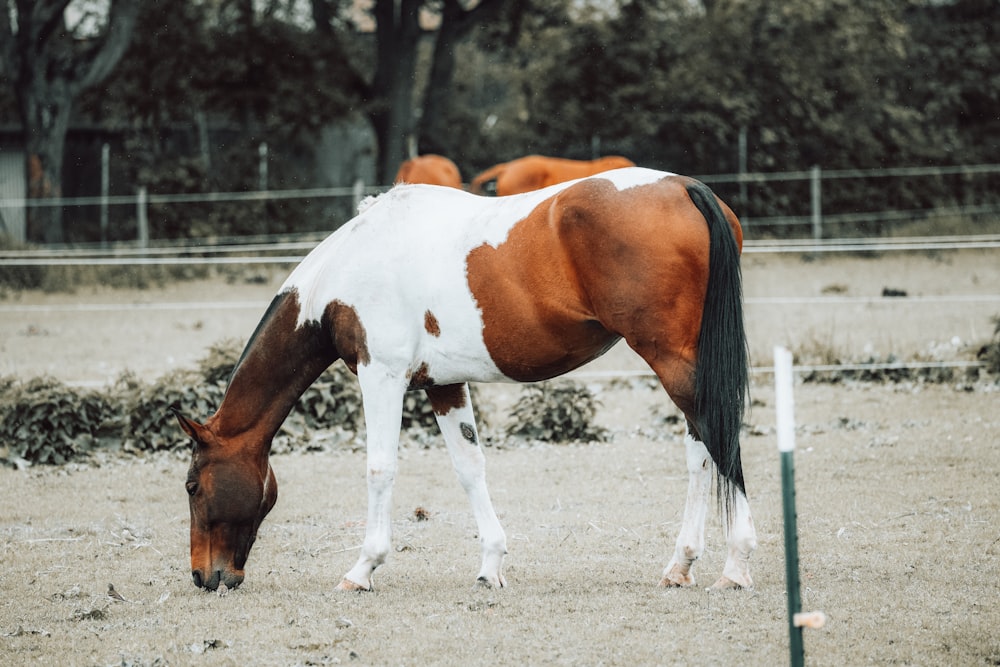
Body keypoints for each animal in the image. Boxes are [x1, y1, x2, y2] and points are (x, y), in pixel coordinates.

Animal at [176, 167, 756, 596]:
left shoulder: (381, 376)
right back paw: (681, 565)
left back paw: (735, 567)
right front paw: (491, 564)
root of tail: (685, 187)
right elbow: (469, 467)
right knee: (700, 451)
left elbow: (380, 468)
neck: (349, 269)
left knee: (719, 441)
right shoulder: (443, 386)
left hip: (671, 361)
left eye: (191, 485)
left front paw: (363, 569)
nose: (206, 577)